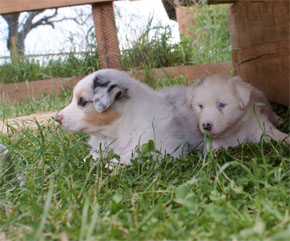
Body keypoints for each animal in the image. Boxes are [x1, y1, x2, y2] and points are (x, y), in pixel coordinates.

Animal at [55, 68, 203, 165]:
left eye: (83, 102)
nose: (57, 118)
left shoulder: (164, 148)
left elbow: (128, 157)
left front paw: (110, 165)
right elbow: (92, 155)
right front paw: (88, 160)